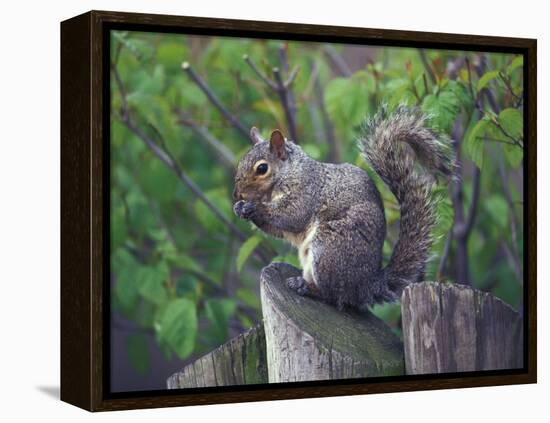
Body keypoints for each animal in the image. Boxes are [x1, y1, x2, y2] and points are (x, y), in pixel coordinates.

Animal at [234, 106, 458, 312]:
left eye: (262, 168)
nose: (238, 194)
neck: (288, 173)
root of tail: (367, 286)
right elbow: (278, 229)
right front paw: (240, 208)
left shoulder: (306, 192)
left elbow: (291, 215)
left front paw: (255, 207)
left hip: (329, 248)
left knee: (334, 296)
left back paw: (305, 287)